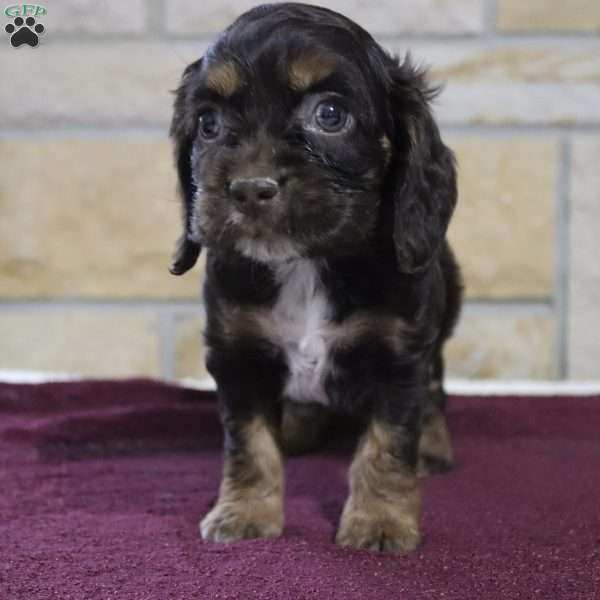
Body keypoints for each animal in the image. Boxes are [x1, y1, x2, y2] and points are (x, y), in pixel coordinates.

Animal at [171, 1, 462, 552]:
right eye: (208, 123)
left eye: (330, 114)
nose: (249, 188)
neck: (306, 262)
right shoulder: (236, 352)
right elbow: (248, 442)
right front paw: (243, 512)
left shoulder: (400, 355)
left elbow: (388, 442)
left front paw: (380, 522)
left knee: (436, 390)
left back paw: (435, 447)